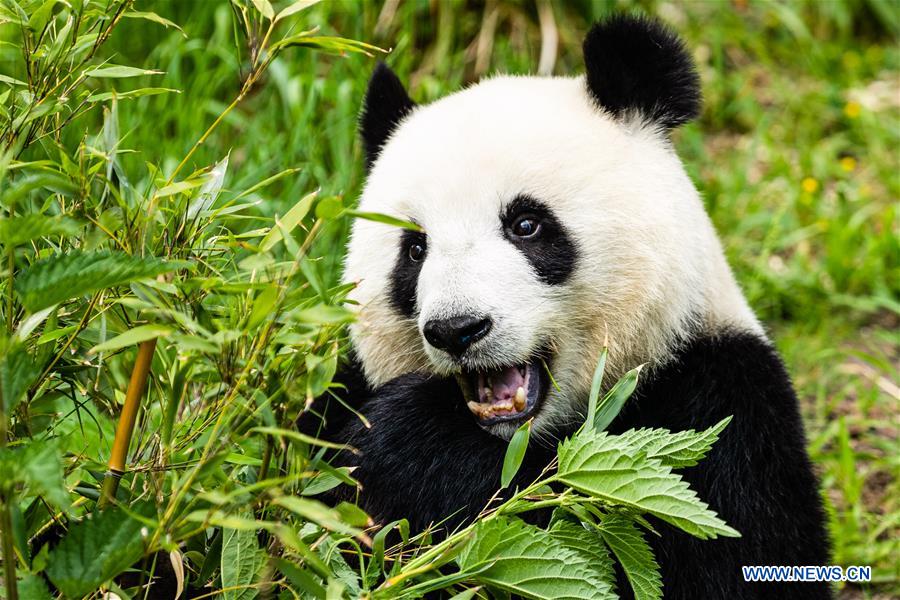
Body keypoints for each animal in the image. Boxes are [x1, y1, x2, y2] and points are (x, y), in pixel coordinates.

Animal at [306, 14, 832, 600]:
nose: (457, 329)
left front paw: (410, 443)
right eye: (415, 249)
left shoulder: (723, 405)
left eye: (526, 224)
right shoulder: (340, 387)